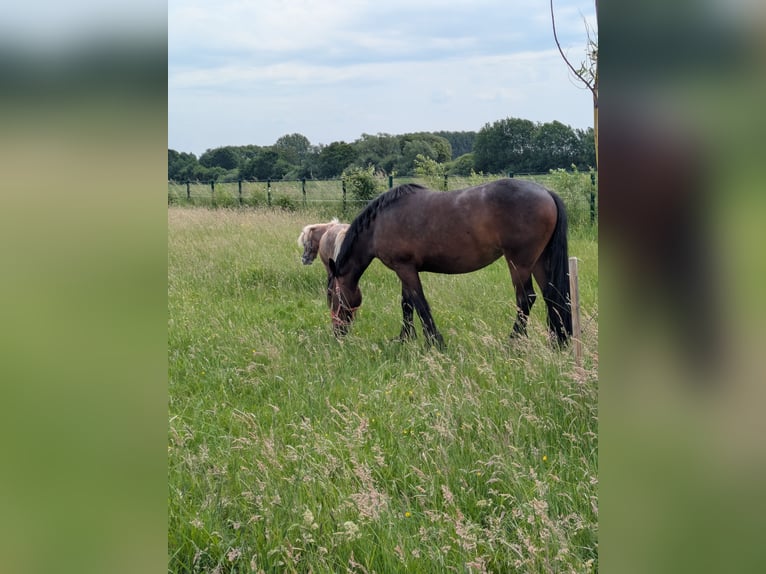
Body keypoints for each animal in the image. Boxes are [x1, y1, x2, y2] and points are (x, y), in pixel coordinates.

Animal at [327, 178, 572, 347]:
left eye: (332, 297)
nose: (337, 333)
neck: (380, 223)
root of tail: (546, 192)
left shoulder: (404, 268)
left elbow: (419, 303)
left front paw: (434, 341)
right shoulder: (404, 269)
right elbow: (406, 303)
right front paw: (404, 338)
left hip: (519, 263)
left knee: (526, 298)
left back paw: (513, 342)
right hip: (539, 261)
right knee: (552, 296)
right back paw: (557, 341)